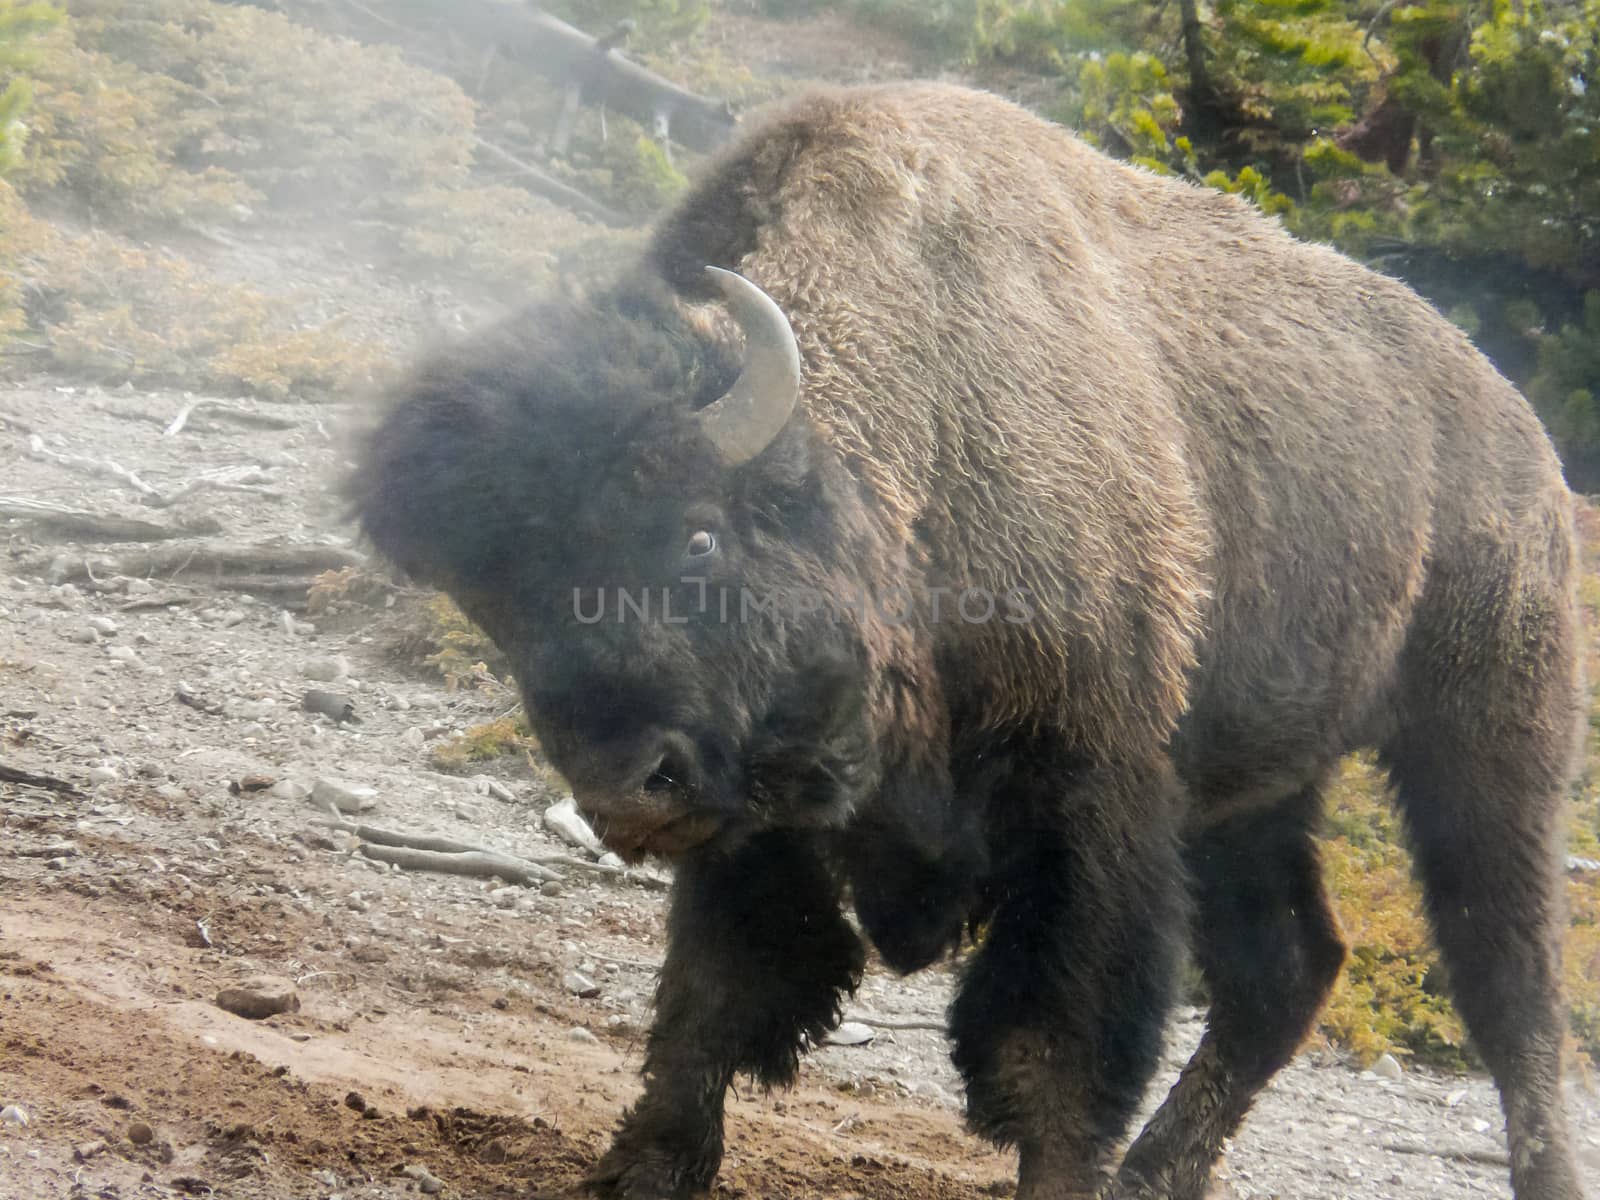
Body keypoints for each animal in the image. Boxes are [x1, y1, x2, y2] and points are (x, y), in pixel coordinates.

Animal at [350, 84, 1587, 1200]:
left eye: (697, 535)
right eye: (497, 601)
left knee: (1509, 985)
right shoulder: (755, 822)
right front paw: (641, 1172)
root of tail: (1521, 436)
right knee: (1287, 969)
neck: (905, 443)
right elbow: (715, 994)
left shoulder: (1087, 803)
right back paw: (1158, 1177)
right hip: (1257, 791)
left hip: (1484, 750)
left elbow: (1050, 1045)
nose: (627, 793)